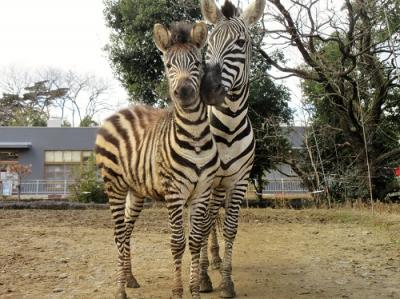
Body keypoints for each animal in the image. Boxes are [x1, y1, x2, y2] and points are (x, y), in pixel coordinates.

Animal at [95, 21, 220, 299]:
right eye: (169, 65)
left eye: (197, 63)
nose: (184, 92)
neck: (195, 136)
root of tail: (120, 111)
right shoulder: (174, 192)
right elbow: (177, 243)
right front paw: (178, 290)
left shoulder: (202, 192)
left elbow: (195, 241)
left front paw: (195, 290)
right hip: (114, 186)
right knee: (118, 233)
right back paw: (120, 290)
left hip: (136, 191)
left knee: (125, 231)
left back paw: (130, 279)